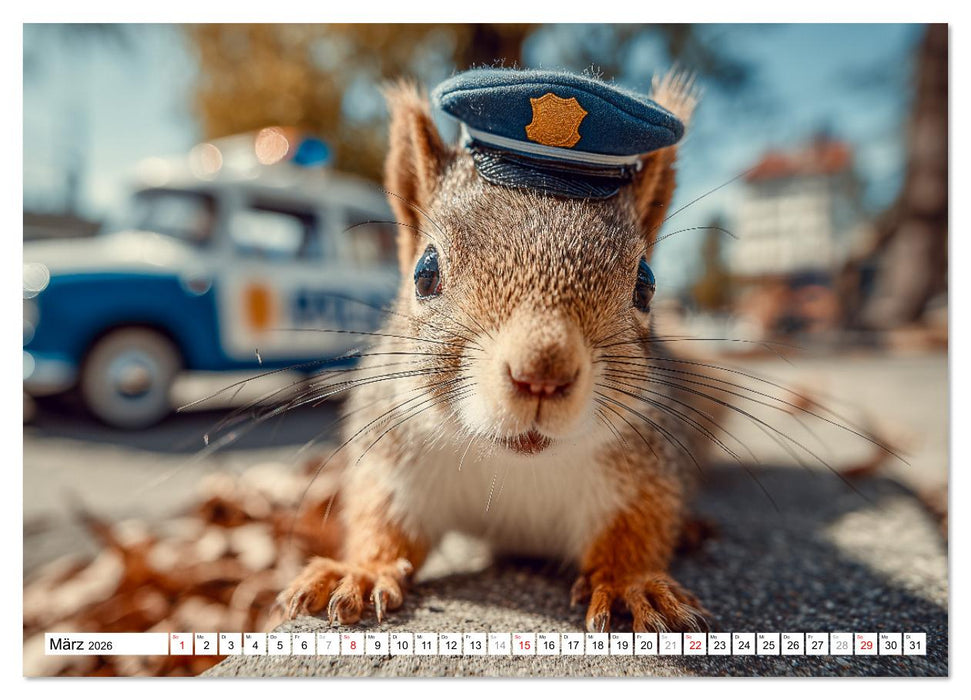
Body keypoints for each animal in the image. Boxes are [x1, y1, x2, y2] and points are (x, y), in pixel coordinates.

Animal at [277, 70, 719, 633]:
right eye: (425, 273)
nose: (542, 373)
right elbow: (384, 520)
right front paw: (361, 571)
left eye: (646, 284)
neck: (514, 465)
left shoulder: (644, 469)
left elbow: (639, 525)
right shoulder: (395, 460)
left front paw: (632, 583)